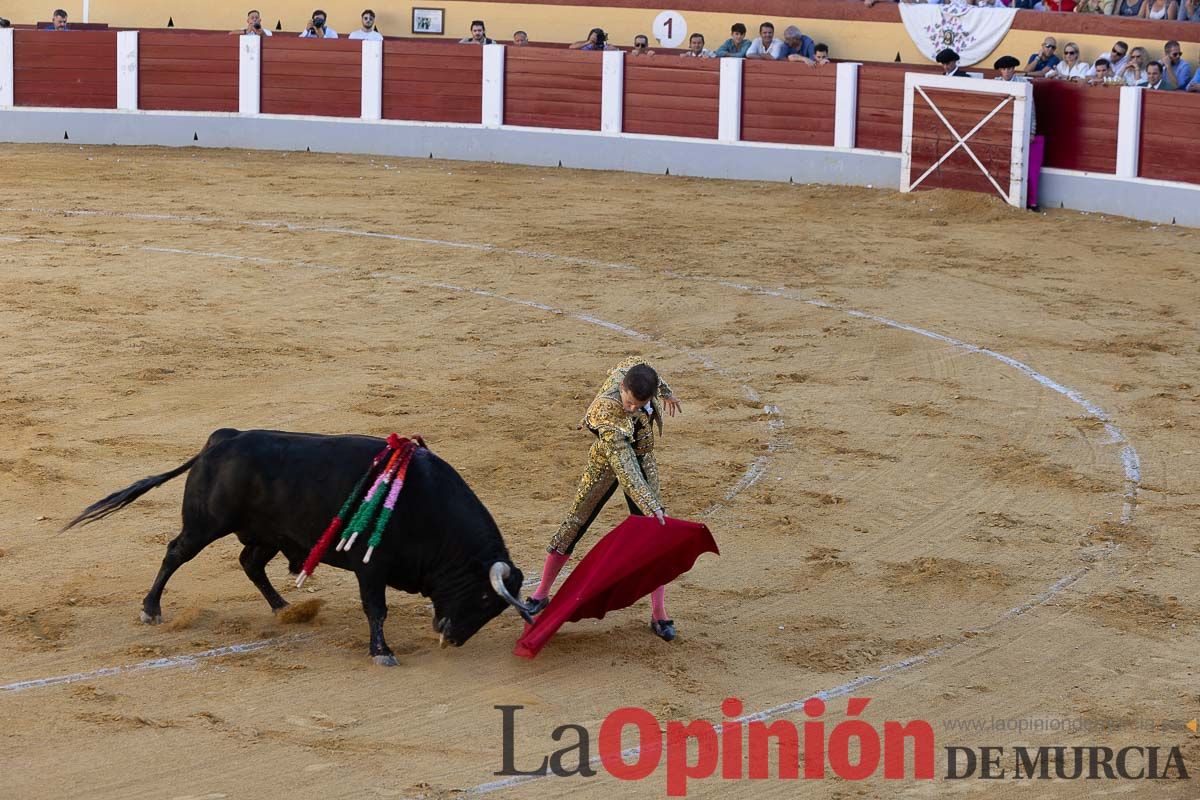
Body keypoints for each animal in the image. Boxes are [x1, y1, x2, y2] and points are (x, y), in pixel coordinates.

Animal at [63, 429, 532, 666]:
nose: (452, 638)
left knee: (250, 563)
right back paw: (151, 608)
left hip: (269, 535)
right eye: (486, 598)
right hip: (205, 525)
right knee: (175, 553)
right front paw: (381, 652)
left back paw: (284, 607)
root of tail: (221, 440)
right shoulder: (372, 567)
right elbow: (376, 608)